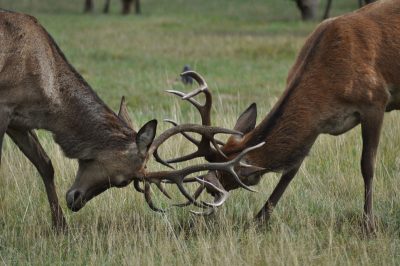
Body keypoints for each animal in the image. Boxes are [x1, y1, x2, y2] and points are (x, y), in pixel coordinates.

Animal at [0, 10, 256, 230]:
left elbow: (45, 163)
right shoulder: (4, 105)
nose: (75, 201)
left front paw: (60, 226)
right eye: (123, 180)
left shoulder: (17, 119)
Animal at [158, 0, 400, 233]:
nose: (208, 189)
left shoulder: (375, 101)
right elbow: (291, 170)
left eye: (231, 176)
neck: (330, 83)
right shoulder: (316, 125)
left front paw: (368, 225)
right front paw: (259, 219)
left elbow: (367, 164)